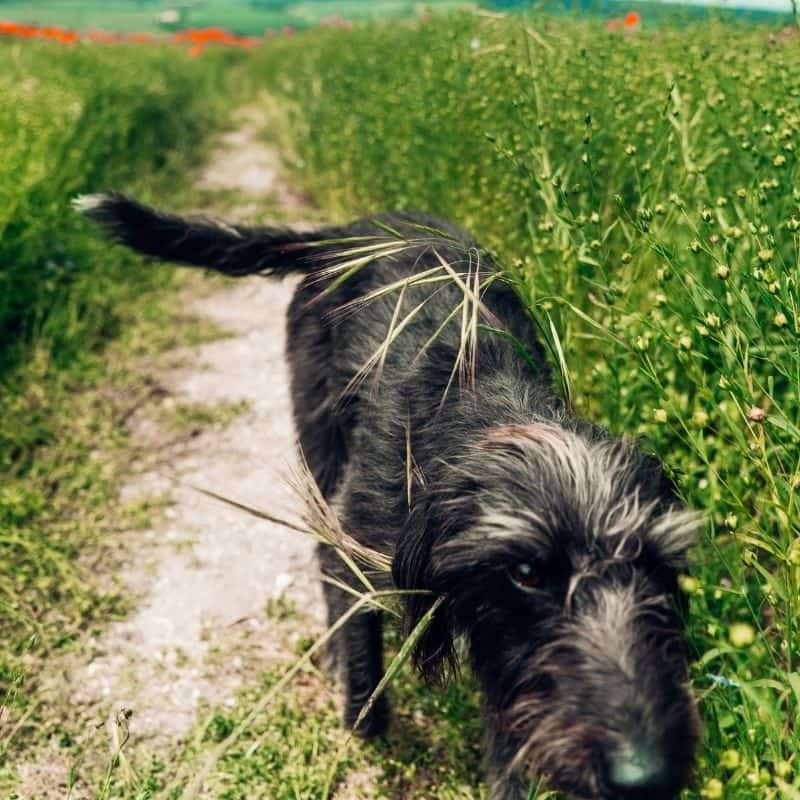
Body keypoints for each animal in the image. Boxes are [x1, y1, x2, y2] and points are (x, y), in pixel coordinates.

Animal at [76, 194, 700, 800]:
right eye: (526, 572)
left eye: (659, 566)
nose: (648, 777)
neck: (481, 405)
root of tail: (347, 231)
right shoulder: (357, 543)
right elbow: (362, 665)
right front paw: (359, 712)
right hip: (320, 445)